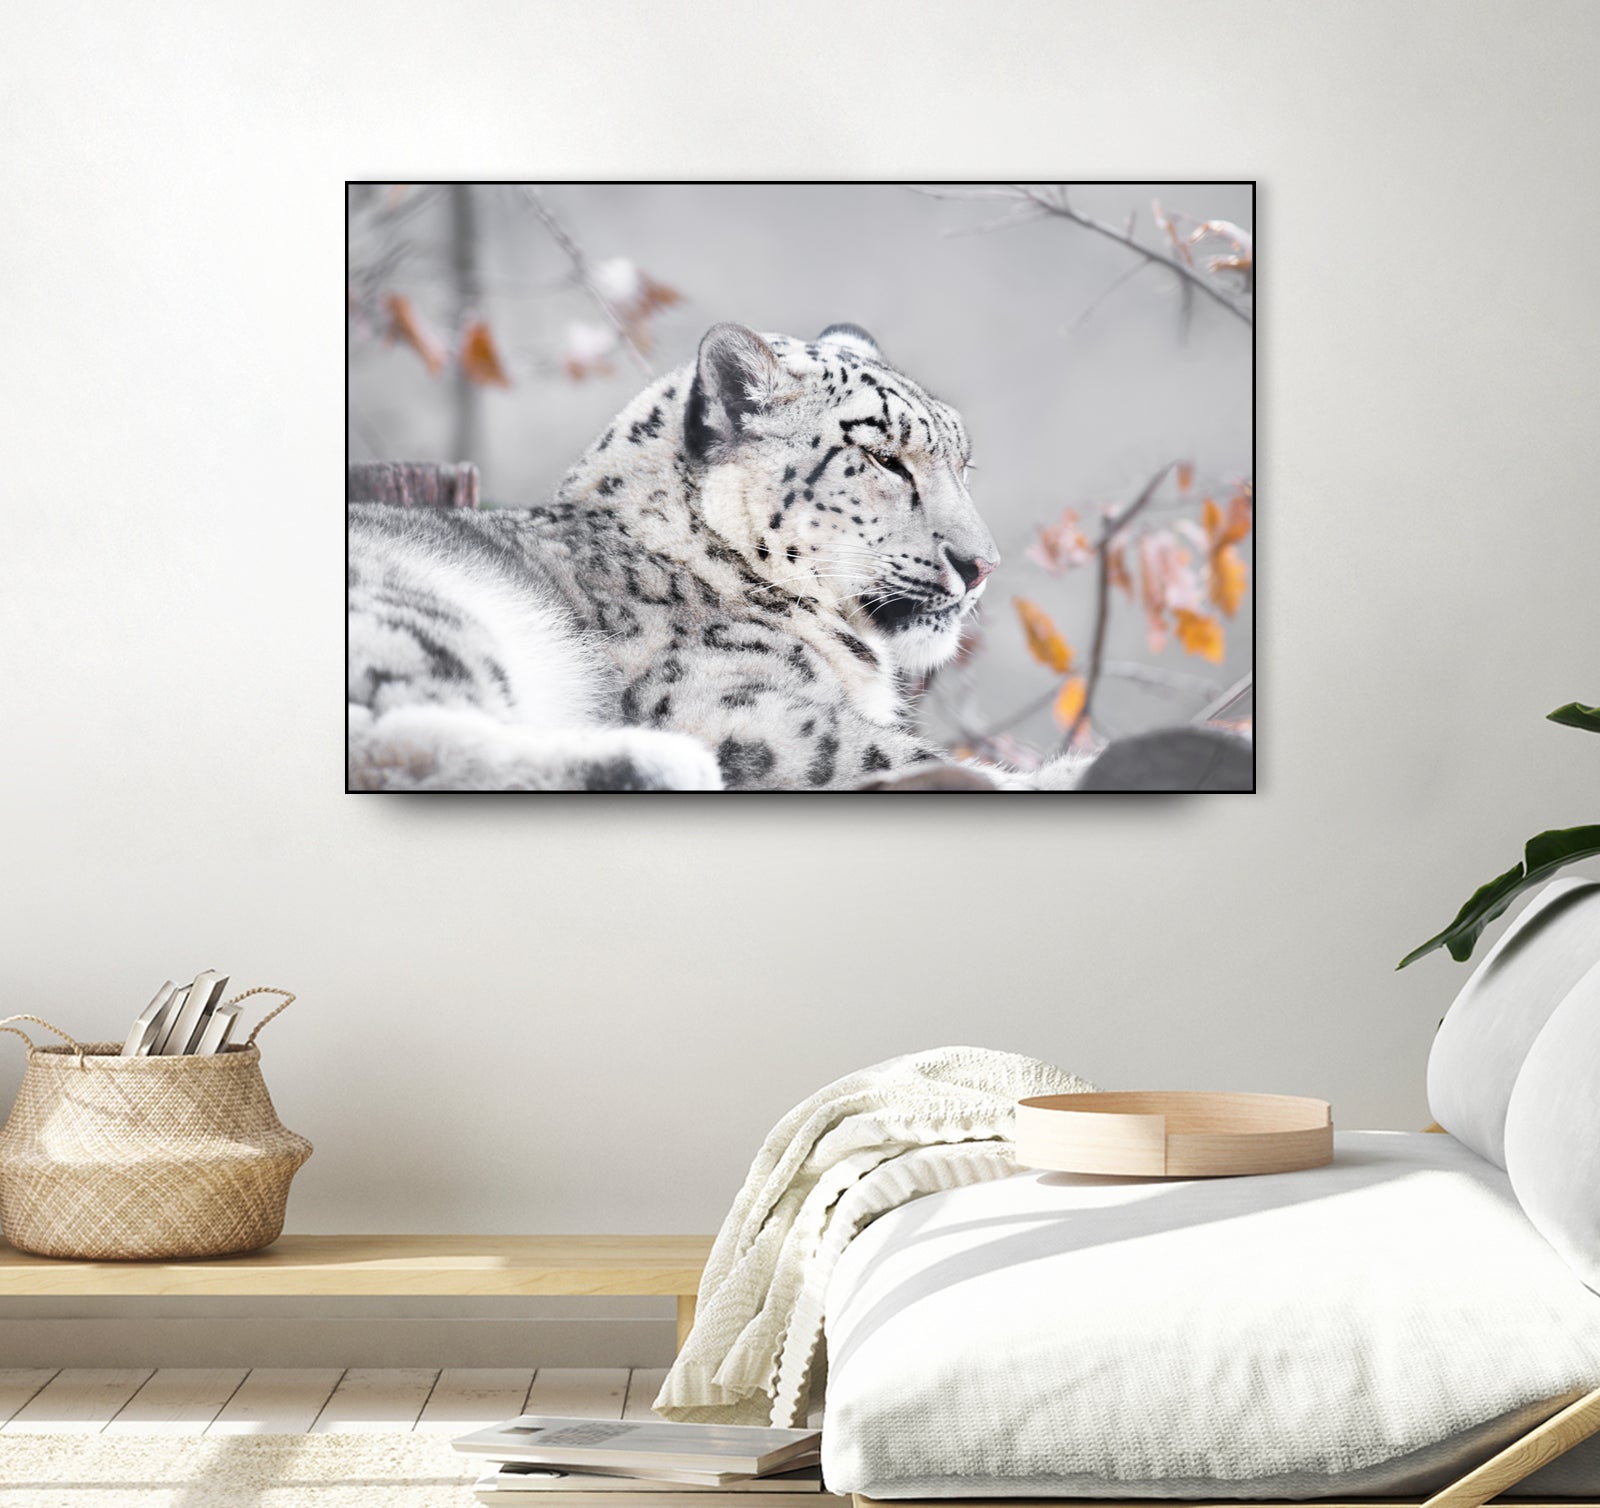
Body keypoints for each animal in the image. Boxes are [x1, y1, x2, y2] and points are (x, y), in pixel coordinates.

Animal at [347, 321, 1089, 792]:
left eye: (964, 463)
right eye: (883, 456)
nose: (981, 564)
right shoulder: (743, 711)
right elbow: (884, 753)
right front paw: (1063, 772)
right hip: (426, 612)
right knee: (394, 737)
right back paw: (660, 764)